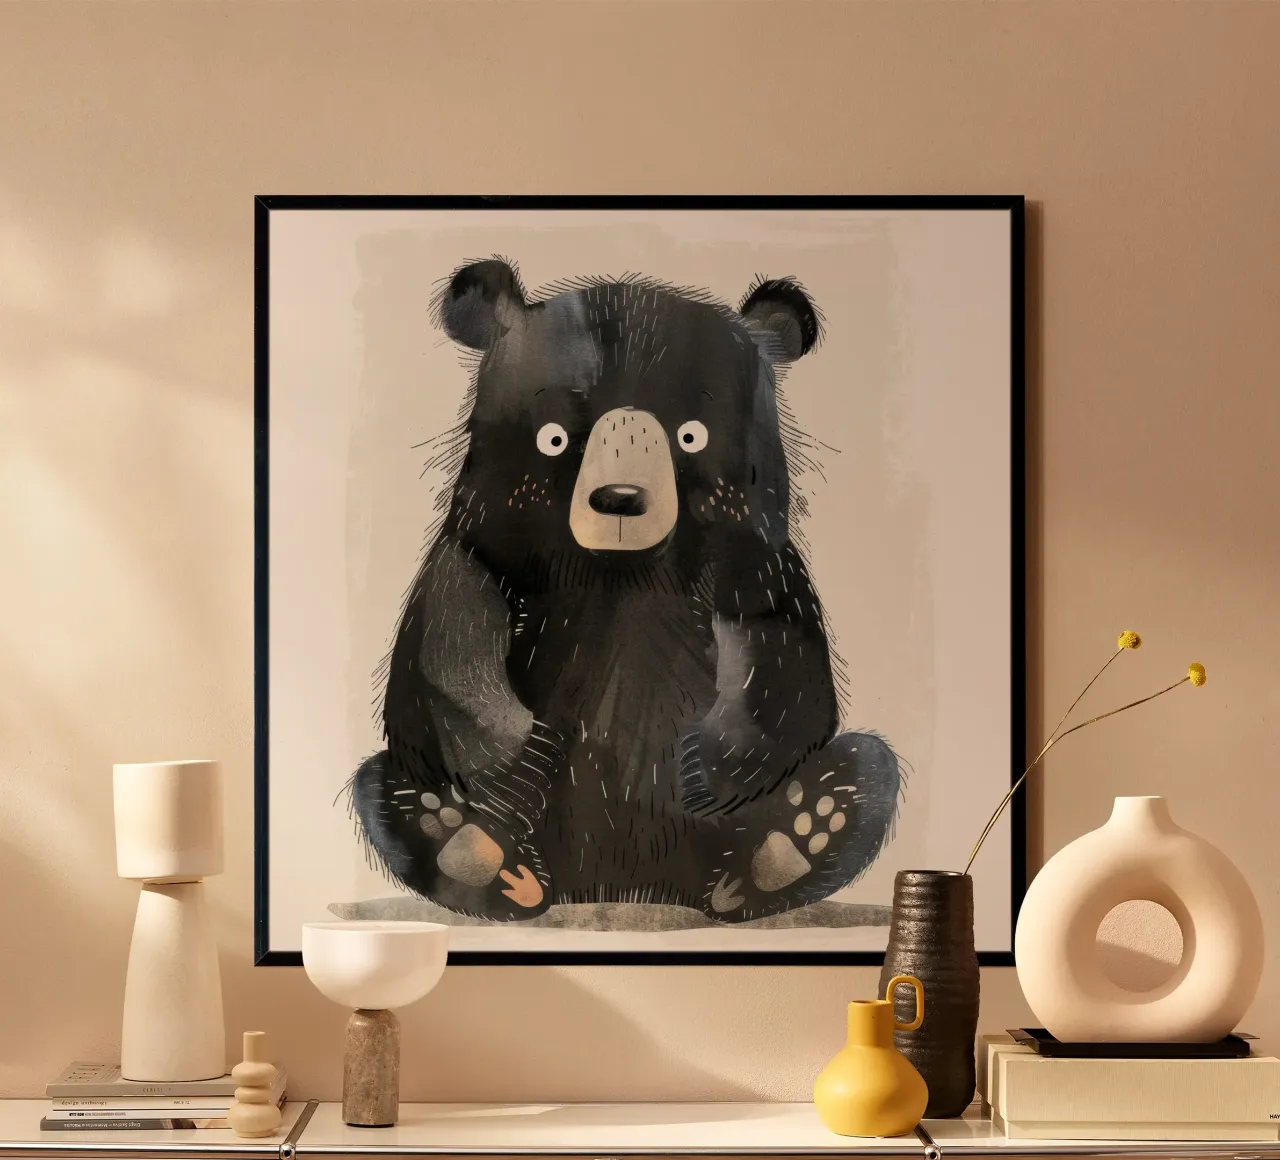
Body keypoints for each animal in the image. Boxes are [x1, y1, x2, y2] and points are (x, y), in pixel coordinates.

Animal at [350, 258, 901, 923]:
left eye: (691, 435)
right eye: (555, 437)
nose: (619, 500)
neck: (620, 567)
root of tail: (621, 887)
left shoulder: (757, 559)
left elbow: (785, 658)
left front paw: (699, 762)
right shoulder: (482, 546)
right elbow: (443, 641)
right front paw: (526, 753)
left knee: (866, 769)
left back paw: (782, 849)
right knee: (382, 784)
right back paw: (480, 854)